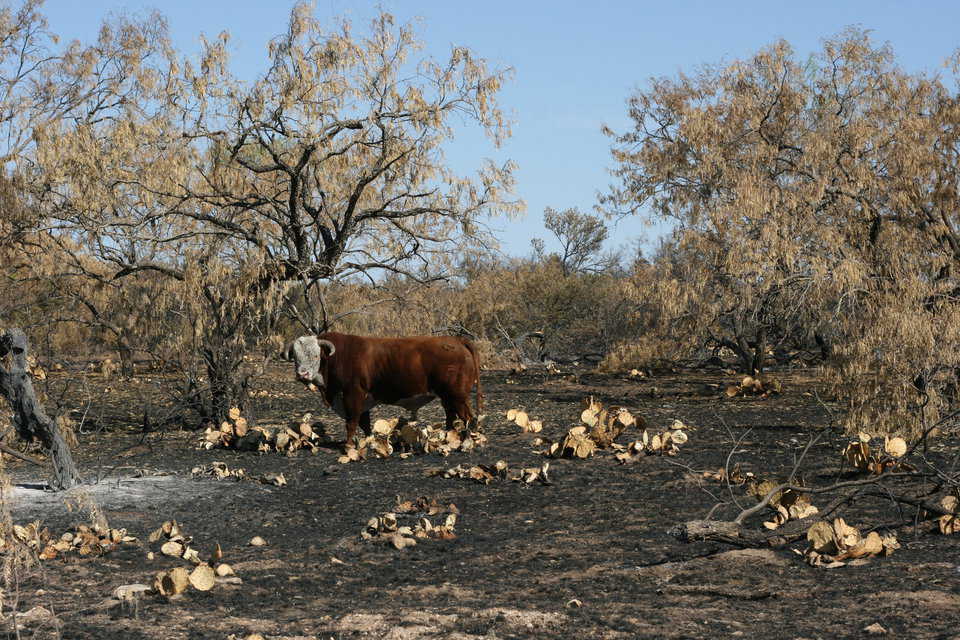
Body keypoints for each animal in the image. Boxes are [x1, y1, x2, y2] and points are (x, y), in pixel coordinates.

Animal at [284, 332, 480, 448]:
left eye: (315, 355)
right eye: (295, 356)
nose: (302, 374)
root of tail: (457, 340)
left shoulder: (352, 395)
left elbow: (352, 422)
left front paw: (348, 445)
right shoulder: (362, 400)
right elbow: (364, 423)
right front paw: (368, 441)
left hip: (458, 396)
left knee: (467, 418)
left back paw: (466, 441)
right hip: (448, 396)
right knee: (451, 415)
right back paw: (447, 437)